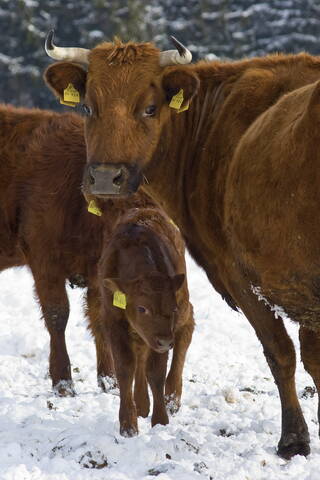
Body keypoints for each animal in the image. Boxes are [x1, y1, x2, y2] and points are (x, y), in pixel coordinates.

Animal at [95, 201, 194, 436]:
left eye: (172, 308)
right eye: (142, 308)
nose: (165, 342)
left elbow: (156, 371)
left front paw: (161, 420)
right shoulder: (113, 321)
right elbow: (125, 367)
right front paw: (128, 425)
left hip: (184, 304)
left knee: (187, 330)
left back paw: (172, 398)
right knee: (140, 353)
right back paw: (141, 404)